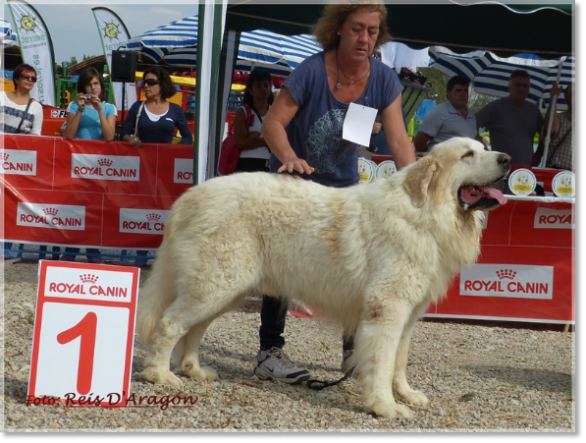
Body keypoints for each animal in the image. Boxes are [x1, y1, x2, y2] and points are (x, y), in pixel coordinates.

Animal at [135, 138, 508, 420]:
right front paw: (385, 406)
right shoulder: (387, 310)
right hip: (214, 285)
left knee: (193, 330)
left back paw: (193, 370)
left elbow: (399, 361)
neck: (426, 212)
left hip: (224, 290)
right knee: (169, 325)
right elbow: (383, 362)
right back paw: (160, 374)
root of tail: (191, 196)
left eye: (484, 147)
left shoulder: (407, 314)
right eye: (468, 154)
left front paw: (405, 394)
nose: (506, 158)